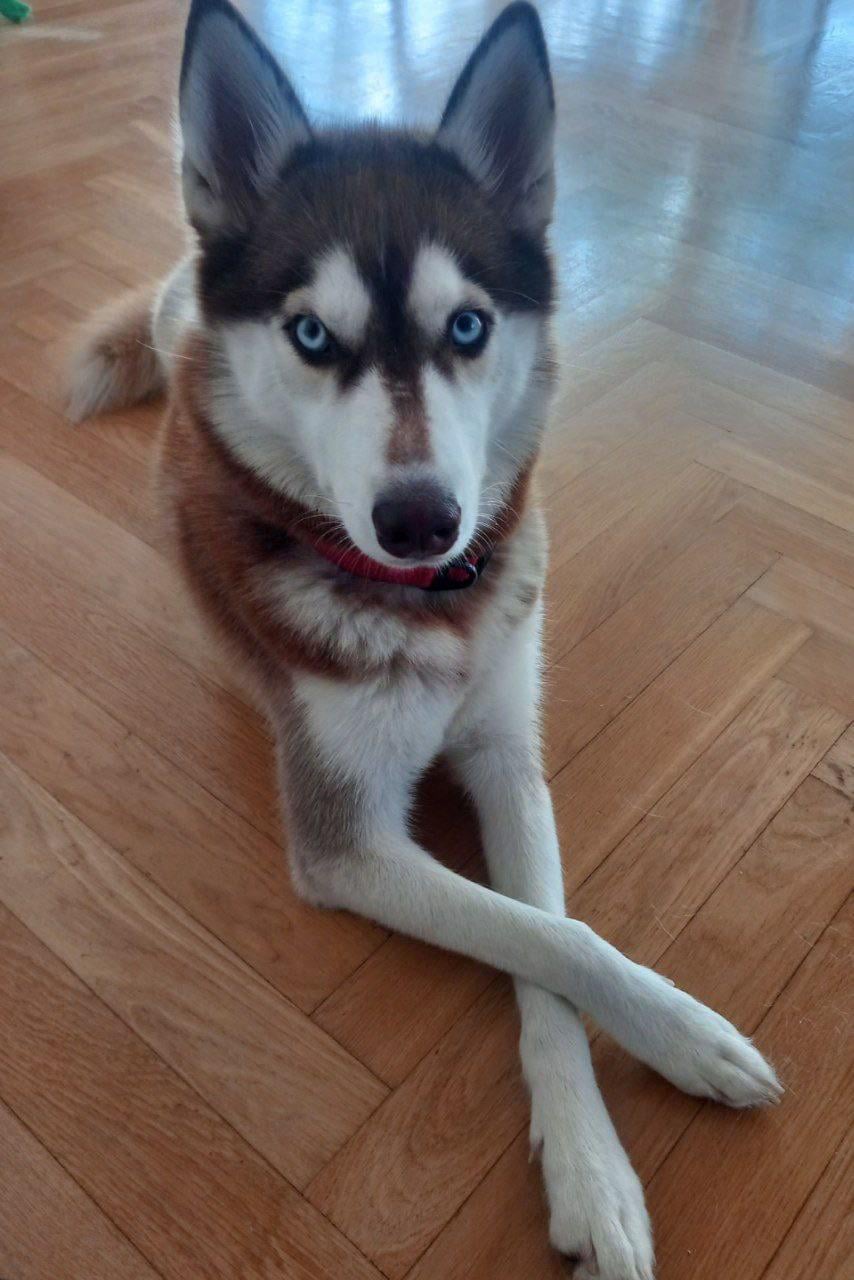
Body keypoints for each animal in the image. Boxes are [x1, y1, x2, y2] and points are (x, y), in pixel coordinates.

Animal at [69, 3, 782, 1275]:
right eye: (310, 333)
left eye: (466, 326)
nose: (419, 520)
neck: (422, 604)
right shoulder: (345, 840)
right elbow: (558, 941)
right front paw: (677, 1039)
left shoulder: (504, 749)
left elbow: (547, 928)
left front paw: (588, 1160)